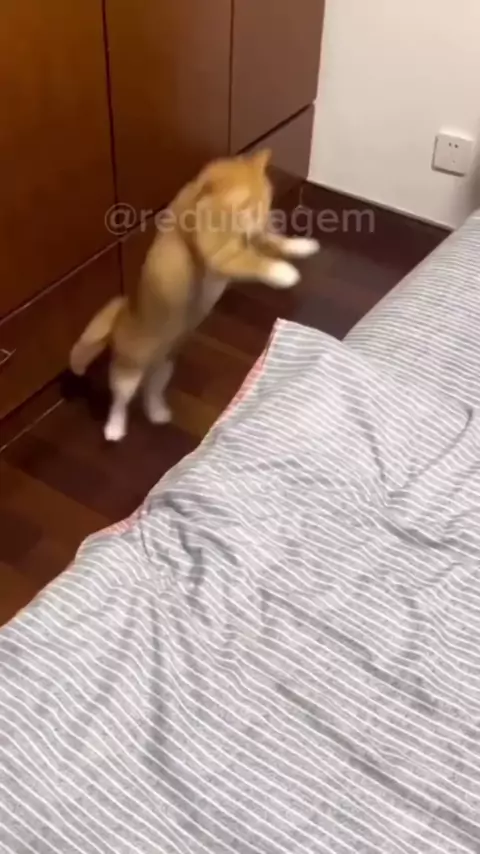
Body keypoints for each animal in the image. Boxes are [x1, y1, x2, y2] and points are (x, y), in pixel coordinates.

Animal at [70, 149, 319, 441]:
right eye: (247, 205)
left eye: (266, 201)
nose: (265, 219)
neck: (204, 202)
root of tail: (121, 316)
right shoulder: (221, 254)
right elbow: (257, 262)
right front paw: (283, 272)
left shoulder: (248, 239)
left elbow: (272, 241)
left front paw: (299, 245)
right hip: (128, 371)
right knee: (121, 400)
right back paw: (114, 428)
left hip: (163, 366)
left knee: (150, 390)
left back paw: (158, 412)